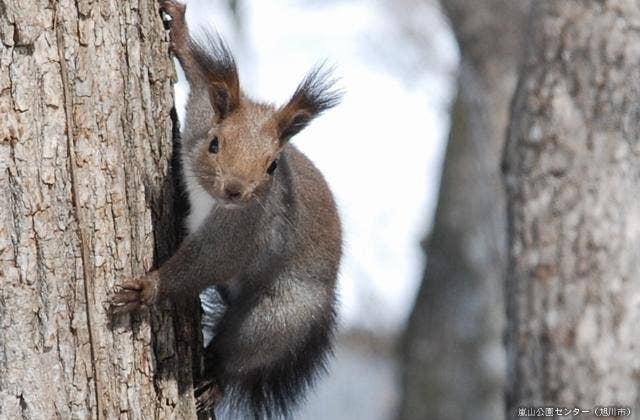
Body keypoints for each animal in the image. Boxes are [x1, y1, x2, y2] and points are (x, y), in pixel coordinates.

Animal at [112, 1, 344, 418]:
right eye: (215, 144)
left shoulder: (246, 230)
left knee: (241, 351)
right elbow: (203, 87)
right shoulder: (201, 118)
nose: (235, 190)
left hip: (278, 314)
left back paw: (216, 380)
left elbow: (208, 261)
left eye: (272, 165)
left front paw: (149, 287)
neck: (212, 200)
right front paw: (180, 33)